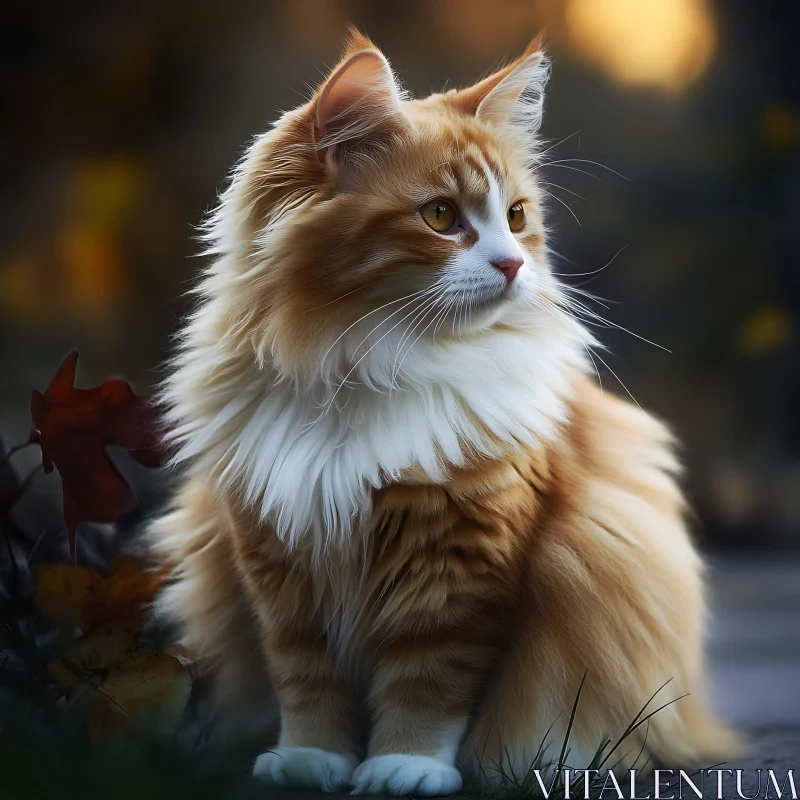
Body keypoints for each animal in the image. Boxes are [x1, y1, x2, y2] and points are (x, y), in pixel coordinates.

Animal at [148, 28, 736, 796]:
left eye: (516, 218)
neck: (371, 363)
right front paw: (311, 759)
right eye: (440, 217)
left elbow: (428, 683)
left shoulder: (464, 561)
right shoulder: (275, 561)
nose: (514, 265)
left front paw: (404, 766)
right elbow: (305, 680)